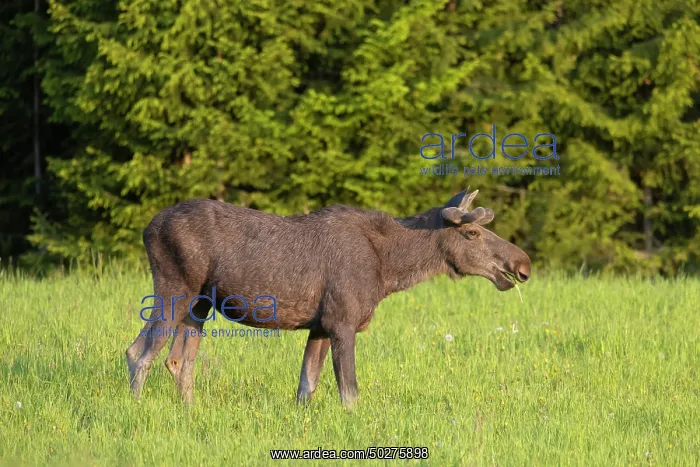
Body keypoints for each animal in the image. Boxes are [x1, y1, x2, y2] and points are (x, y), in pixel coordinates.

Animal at [126, 188, 531, 408]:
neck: (389, 270)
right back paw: (137, 408)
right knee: (141, 352)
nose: (522, 264)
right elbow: (349, 394)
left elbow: (306, 388)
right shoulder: (342, 322)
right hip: (175, 287)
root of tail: (147, 228)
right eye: (473, 233)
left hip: (201, 304)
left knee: (176, 360)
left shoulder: (319, 325)